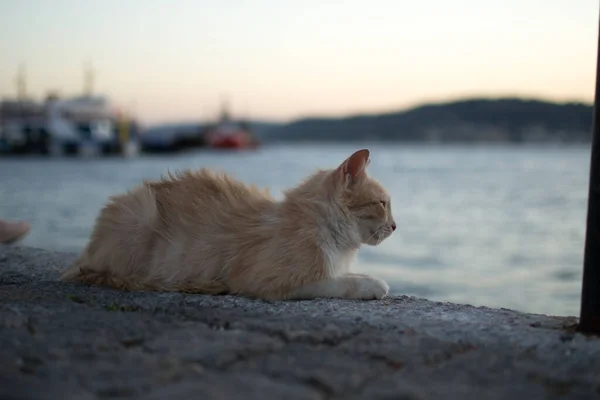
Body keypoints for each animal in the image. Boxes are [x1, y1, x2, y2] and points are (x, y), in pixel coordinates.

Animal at [63, 149, 396, 300]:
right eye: (383, 204)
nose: (395, 226)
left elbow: (345, 274)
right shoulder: (266, 281)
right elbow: (340, 282)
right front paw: (374, 284)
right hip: (140, 215)